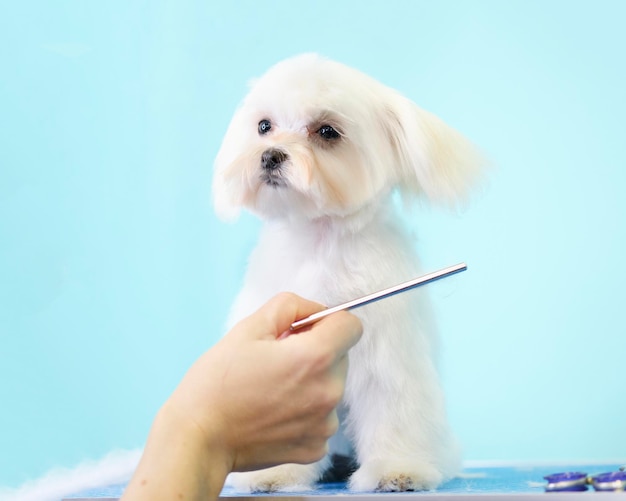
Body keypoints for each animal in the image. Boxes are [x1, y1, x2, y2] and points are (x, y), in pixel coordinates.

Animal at [212, 52, 480, 490]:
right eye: (264, 126)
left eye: (327, 131)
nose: (270, 155)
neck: (320, 243)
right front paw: (274, 472)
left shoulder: (388, 356)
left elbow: (393, 409)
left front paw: (397, 470)